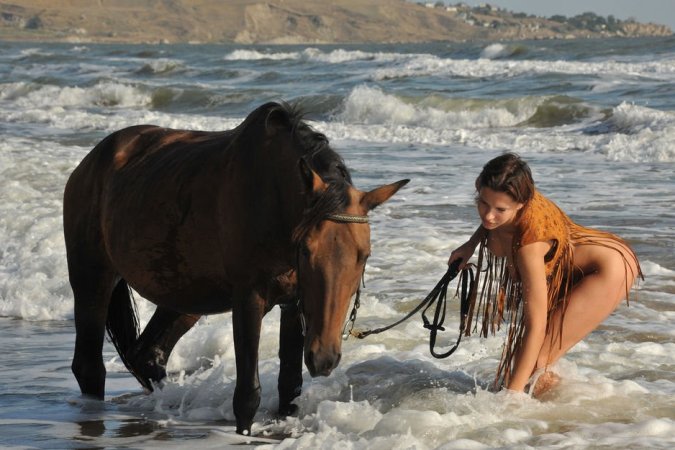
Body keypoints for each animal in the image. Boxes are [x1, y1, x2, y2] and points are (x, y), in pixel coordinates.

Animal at [63, 101, 408, 435]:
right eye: (306, 250)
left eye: (363, 255)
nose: (324, 357)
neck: (275, 201)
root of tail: (92, 161)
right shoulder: (249, 299)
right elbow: (247, 395)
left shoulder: (293, 303)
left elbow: (289, 387)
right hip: (92, 278)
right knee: (89, 365)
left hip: (185, 296)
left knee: (147, 355)